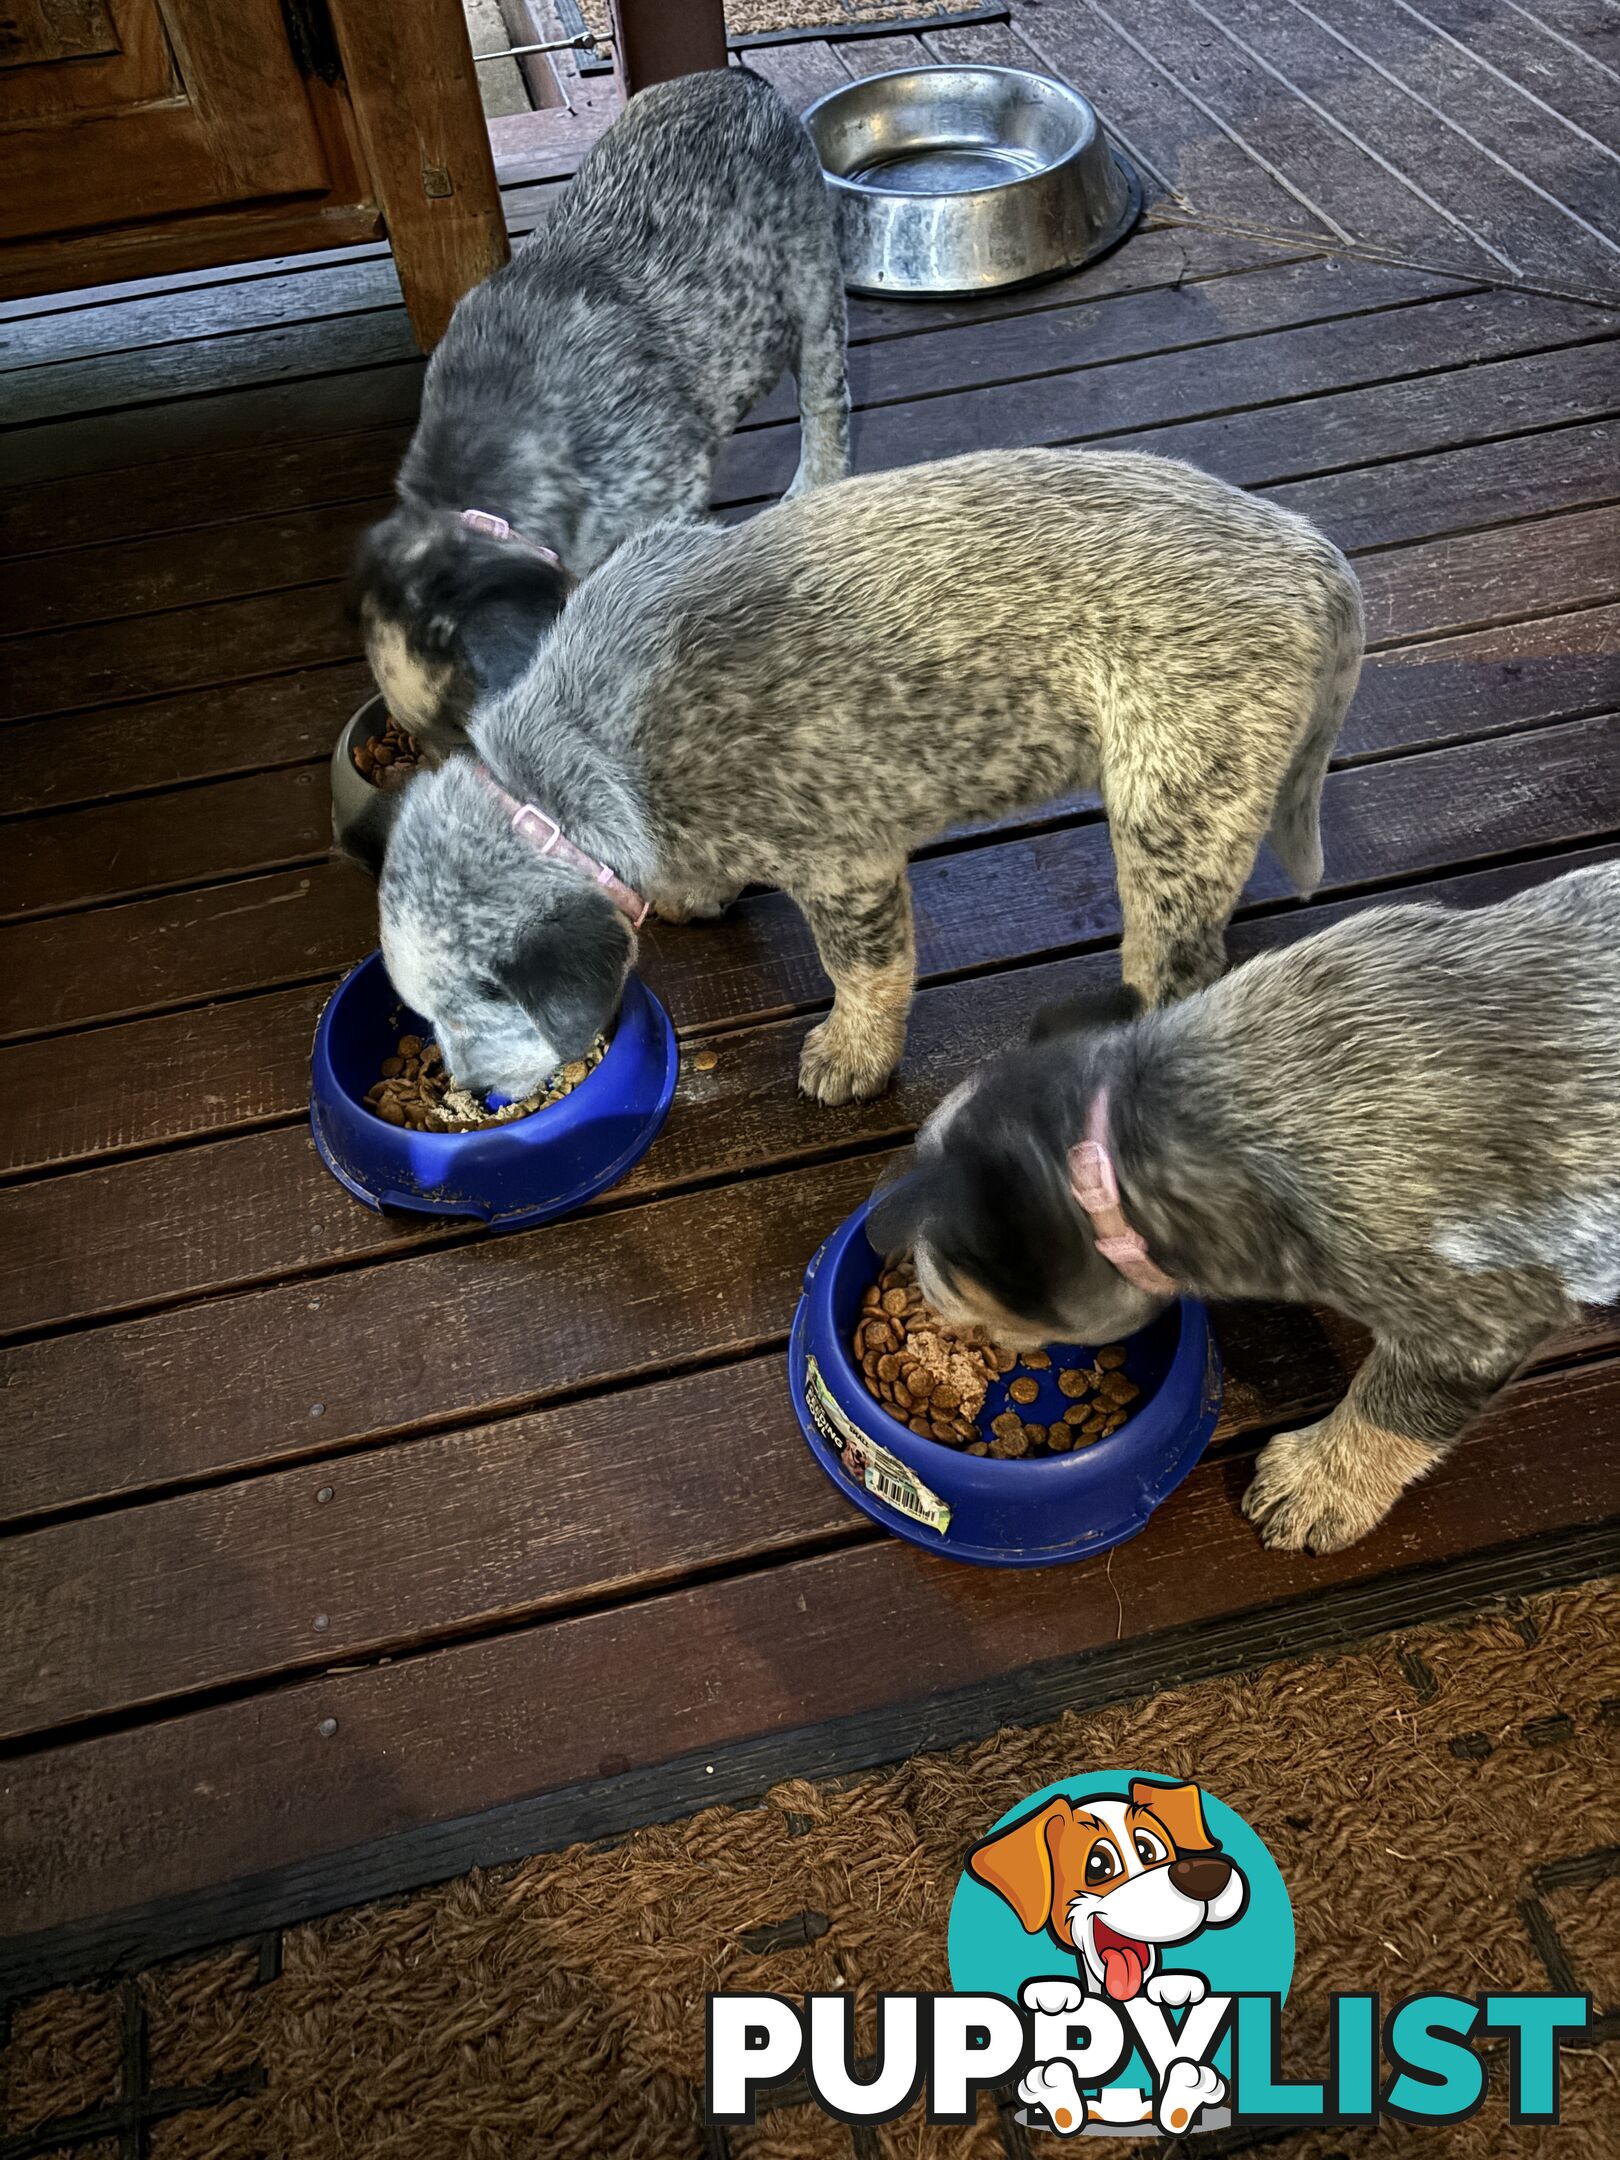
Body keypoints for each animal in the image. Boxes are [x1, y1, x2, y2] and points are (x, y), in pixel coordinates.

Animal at [373, 444, 1365, 1105]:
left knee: (1174, 960)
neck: (574, 755)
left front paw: (852, 1056)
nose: (468, 1092)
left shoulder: (844, 865)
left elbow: (865, 974)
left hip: (1171, 810)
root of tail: (1313, 552)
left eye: (472, 1007)